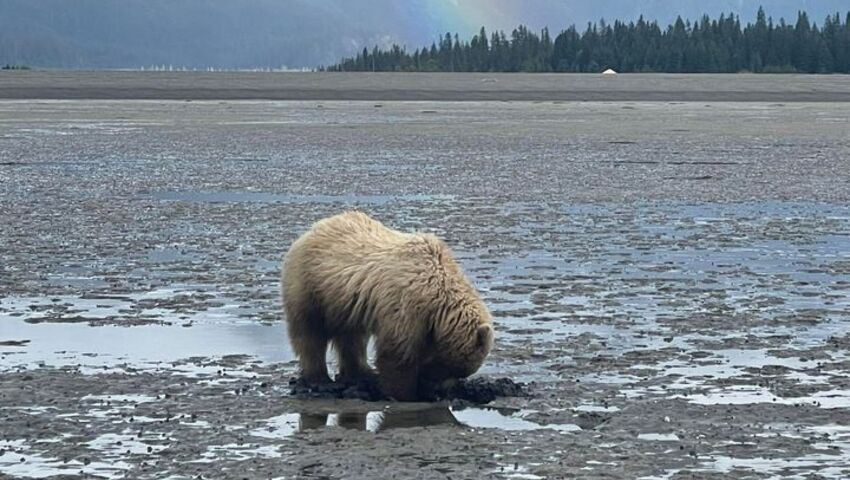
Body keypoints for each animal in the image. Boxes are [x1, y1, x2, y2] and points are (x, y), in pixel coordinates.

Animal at [280, 211, 490, 402]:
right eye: (450, 368)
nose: (439, 391)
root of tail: (312, 229)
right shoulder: (406, 305)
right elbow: (396, 354)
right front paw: (404, 394)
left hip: (345, 303)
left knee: (351, 337)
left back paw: (361, 373)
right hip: (310, 286)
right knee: (310, 333)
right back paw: (319, 379)